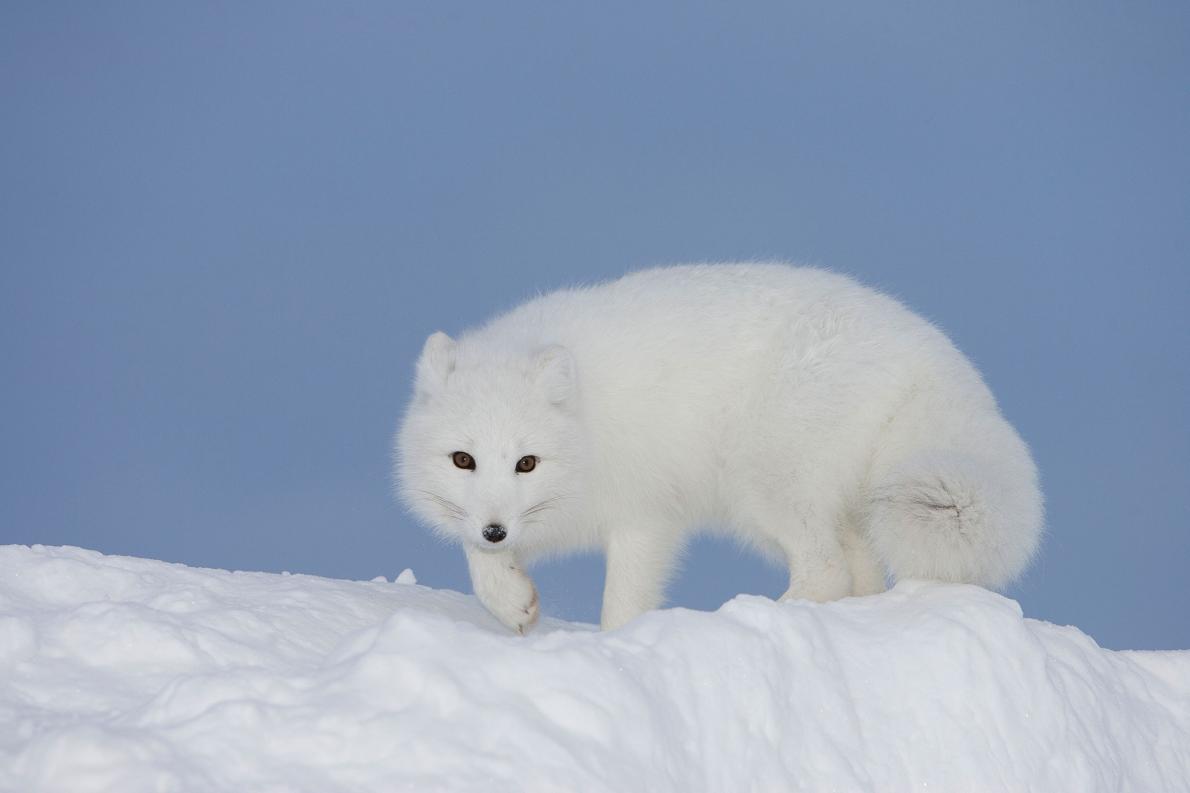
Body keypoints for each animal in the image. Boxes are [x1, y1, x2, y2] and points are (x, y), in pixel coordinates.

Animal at [392, 264, 1042, 628]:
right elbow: (476, 561)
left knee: (826, 569)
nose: (496, 531)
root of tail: (928, 350)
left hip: (765, 483)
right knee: (857, 575)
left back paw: (760, 618)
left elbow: (622, 607)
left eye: (527, 463)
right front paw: (511, 602)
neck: (589, 429)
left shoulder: (646, 517)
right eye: (463, 460)